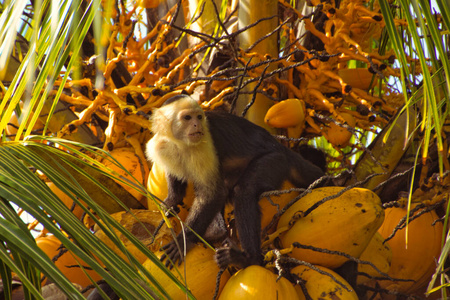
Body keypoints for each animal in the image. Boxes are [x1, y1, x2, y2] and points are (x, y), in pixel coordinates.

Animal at [146, 94, 326, 270]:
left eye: (199, 117)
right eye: (187, 118)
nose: (197, 124)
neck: (180, 143)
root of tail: (281, 147)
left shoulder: (203, 146)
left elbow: (213, 193)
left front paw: (184, 241)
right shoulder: (161, 145)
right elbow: (175, 174)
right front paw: (172, 201)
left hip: (275, 160)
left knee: (243, 191)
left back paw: (248, 259)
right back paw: (217, 233)